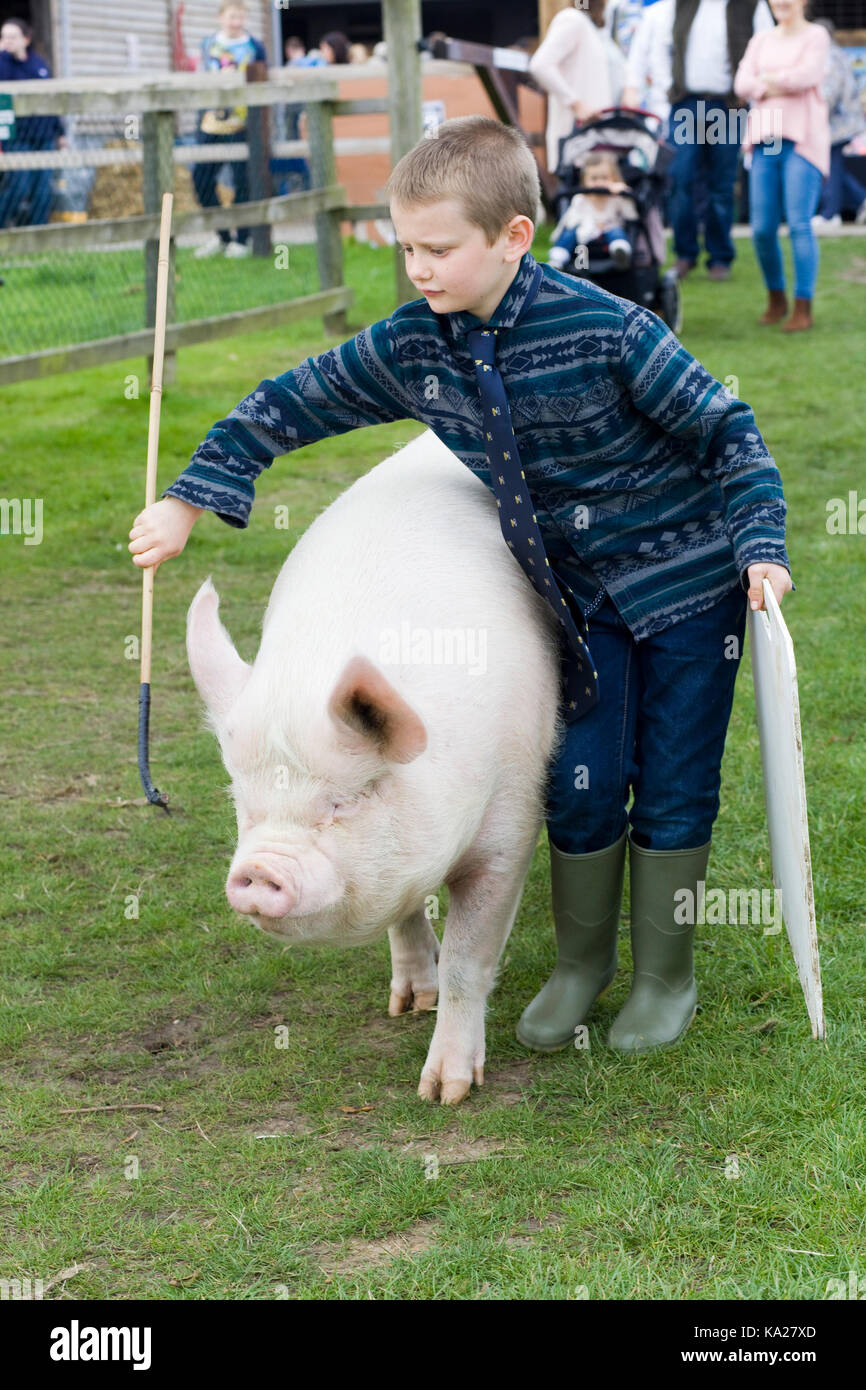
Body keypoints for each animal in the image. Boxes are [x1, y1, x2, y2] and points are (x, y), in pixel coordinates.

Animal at [187, 428, 561, 1100]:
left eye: (343, 802)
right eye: (243, 806)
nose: (257, 869)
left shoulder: (511, 819)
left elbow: (469, 958)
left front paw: (444, 1093)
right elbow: (405, 916)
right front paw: (407, 1006)